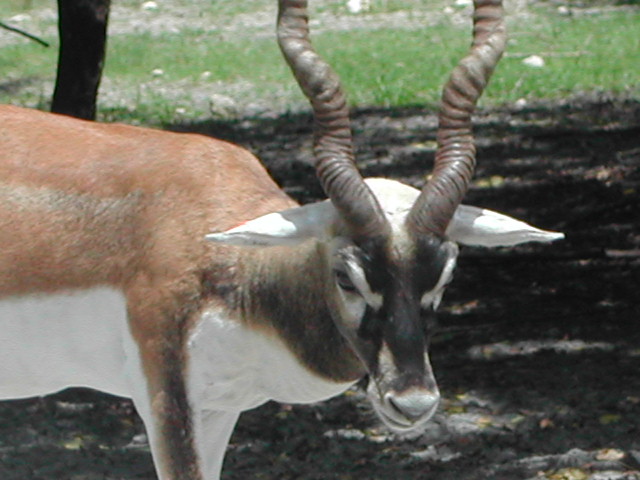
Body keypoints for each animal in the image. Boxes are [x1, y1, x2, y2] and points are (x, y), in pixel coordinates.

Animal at [0, 0, 560, 478]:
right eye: (346, 276)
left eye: (445, 274)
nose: (412, 402)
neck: (233, 264)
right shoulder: (166, 400)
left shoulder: (218, 408)